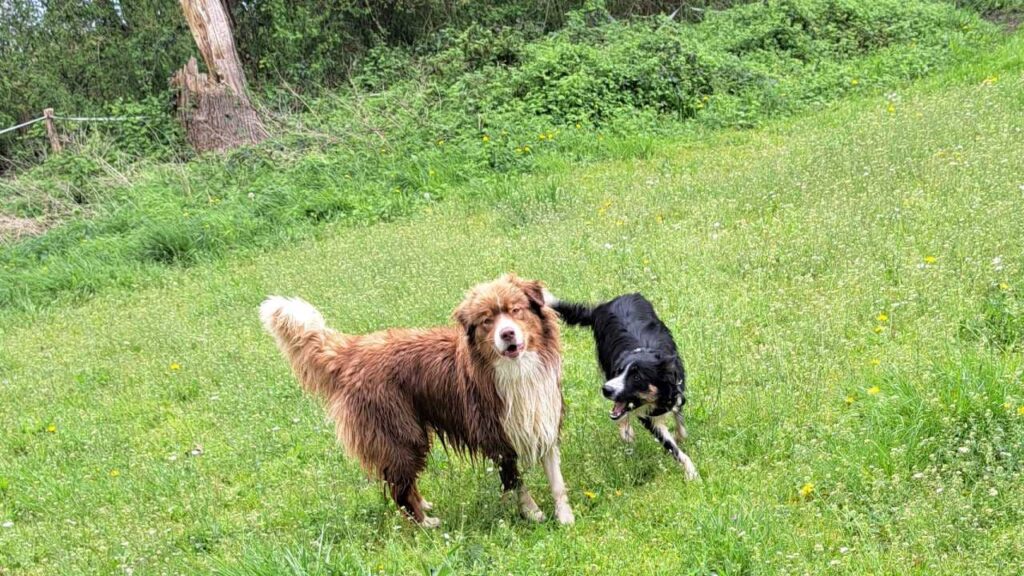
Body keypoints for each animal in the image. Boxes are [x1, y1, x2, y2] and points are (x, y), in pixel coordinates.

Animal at [258, 272, 577, 524]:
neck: (517, 371)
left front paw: (564, 516)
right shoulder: (497, 436)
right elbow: (516, 481)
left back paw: (424, 505)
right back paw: (426, 522)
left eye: (516, 310)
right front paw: (532, 513)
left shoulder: (543, 419)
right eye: (487, 321)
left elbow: (557, 480)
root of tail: (352, 350)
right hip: (401, 436)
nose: (507, 334)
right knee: (399, 489)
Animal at [544, 289, 696, 477]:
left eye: (637, 377)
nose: (606, 389)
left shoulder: (677, 391)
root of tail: (602, 306)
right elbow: (671, 446)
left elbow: (680, 423)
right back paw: (626, 431)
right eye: (619, 371)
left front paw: (681, 441)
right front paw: (692, 472)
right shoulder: (647, 417)